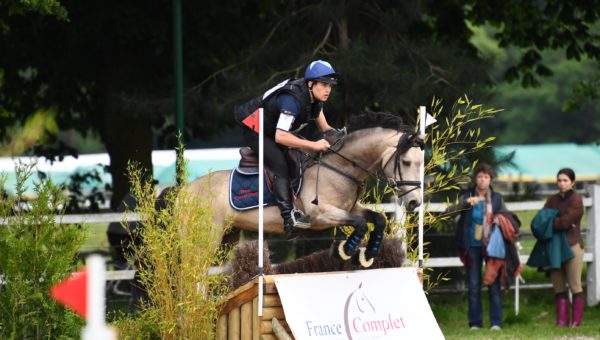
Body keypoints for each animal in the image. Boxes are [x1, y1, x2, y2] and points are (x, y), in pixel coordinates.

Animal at [180, 113, 424, 266]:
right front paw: (345, 251)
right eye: (405, 162)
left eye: (420, 163)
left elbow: (378, 219)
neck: (340, 166)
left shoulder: (349, 208)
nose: (414, 202)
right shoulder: (320, 215)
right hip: (206, 239)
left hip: (227, 239)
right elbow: (361, 224)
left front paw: (369, 254)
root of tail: (184, 192)